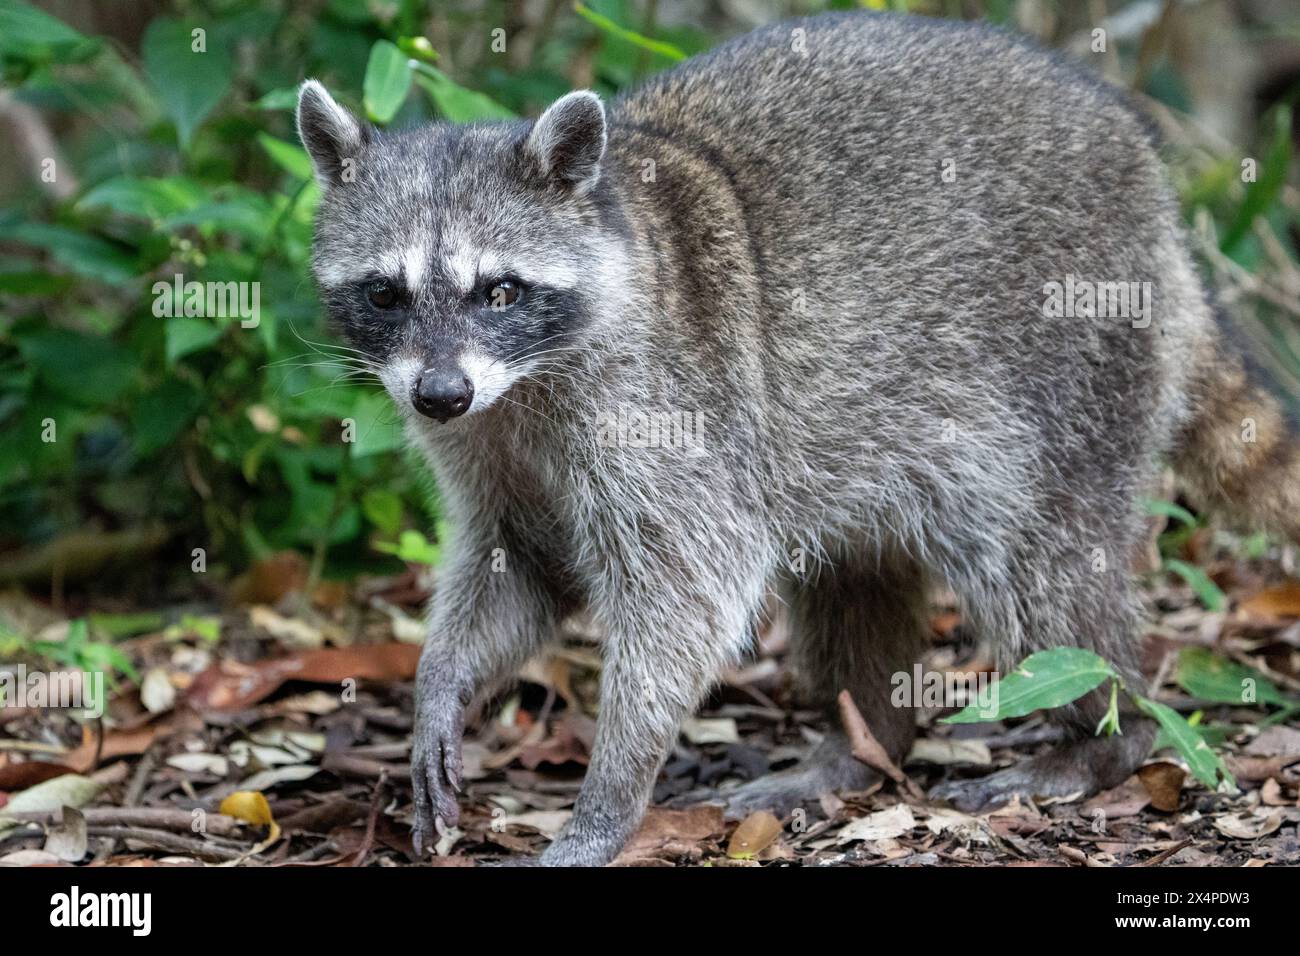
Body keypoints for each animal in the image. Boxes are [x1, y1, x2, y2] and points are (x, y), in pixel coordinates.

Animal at [297, 11, 1300, 865]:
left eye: (499, 291)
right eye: (385, 293)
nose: (438, 394)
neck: (523, 382)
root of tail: (1163, 215)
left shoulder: (663, 409)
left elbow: (687, 597)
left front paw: (609, 797)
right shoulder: (491, 441)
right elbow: (524, 564)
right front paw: (441, 685)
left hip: (1068, 361)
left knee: (1041, 570)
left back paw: (1107, 733)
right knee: (854, 581)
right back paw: (863, 745)